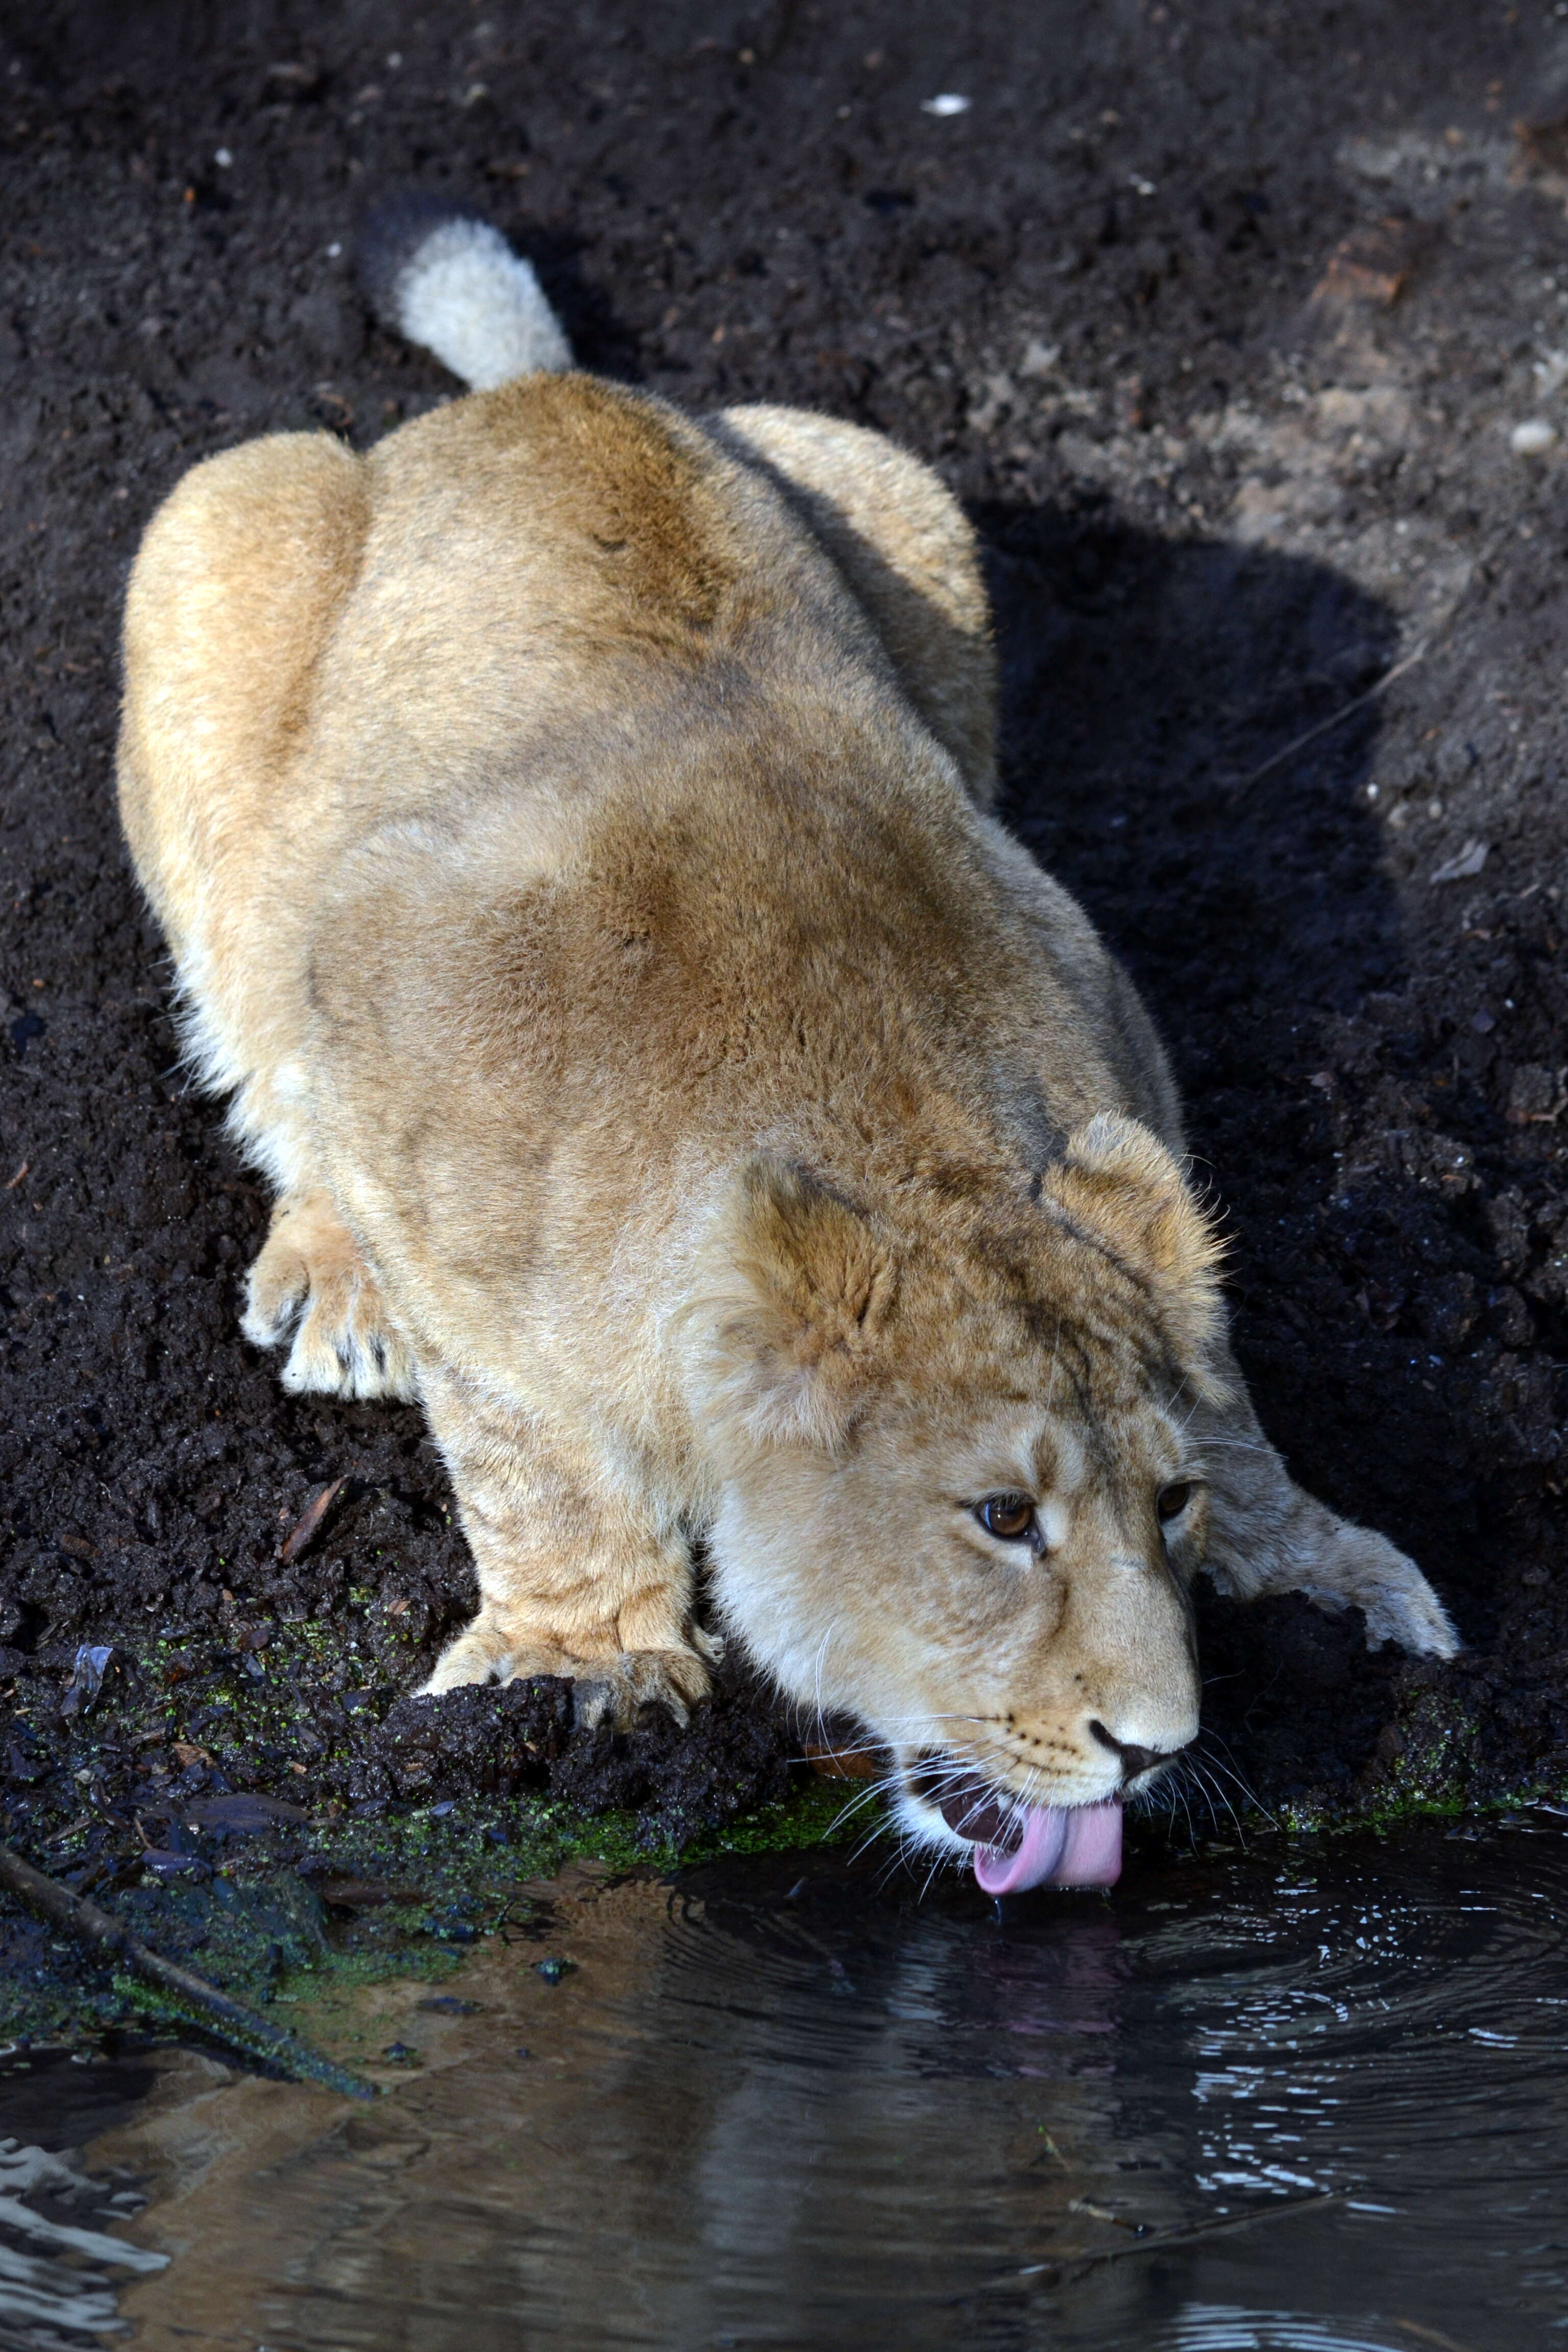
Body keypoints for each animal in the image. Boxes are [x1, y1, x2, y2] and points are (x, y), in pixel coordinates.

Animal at [113, 198, 1457, 1891]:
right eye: (1000, 1519)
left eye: (1170, 1505)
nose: (1154, 1751)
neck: (902, 1137)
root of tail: (534, 397)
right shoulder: (389, 978)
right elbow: (527, 1449)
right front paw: (585, 1663)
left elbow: (1225, 1386)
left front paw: (1315, 1563)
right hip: (216, 523)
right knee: (258, 1042)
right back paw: (337, 1283)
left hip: (894, 489)